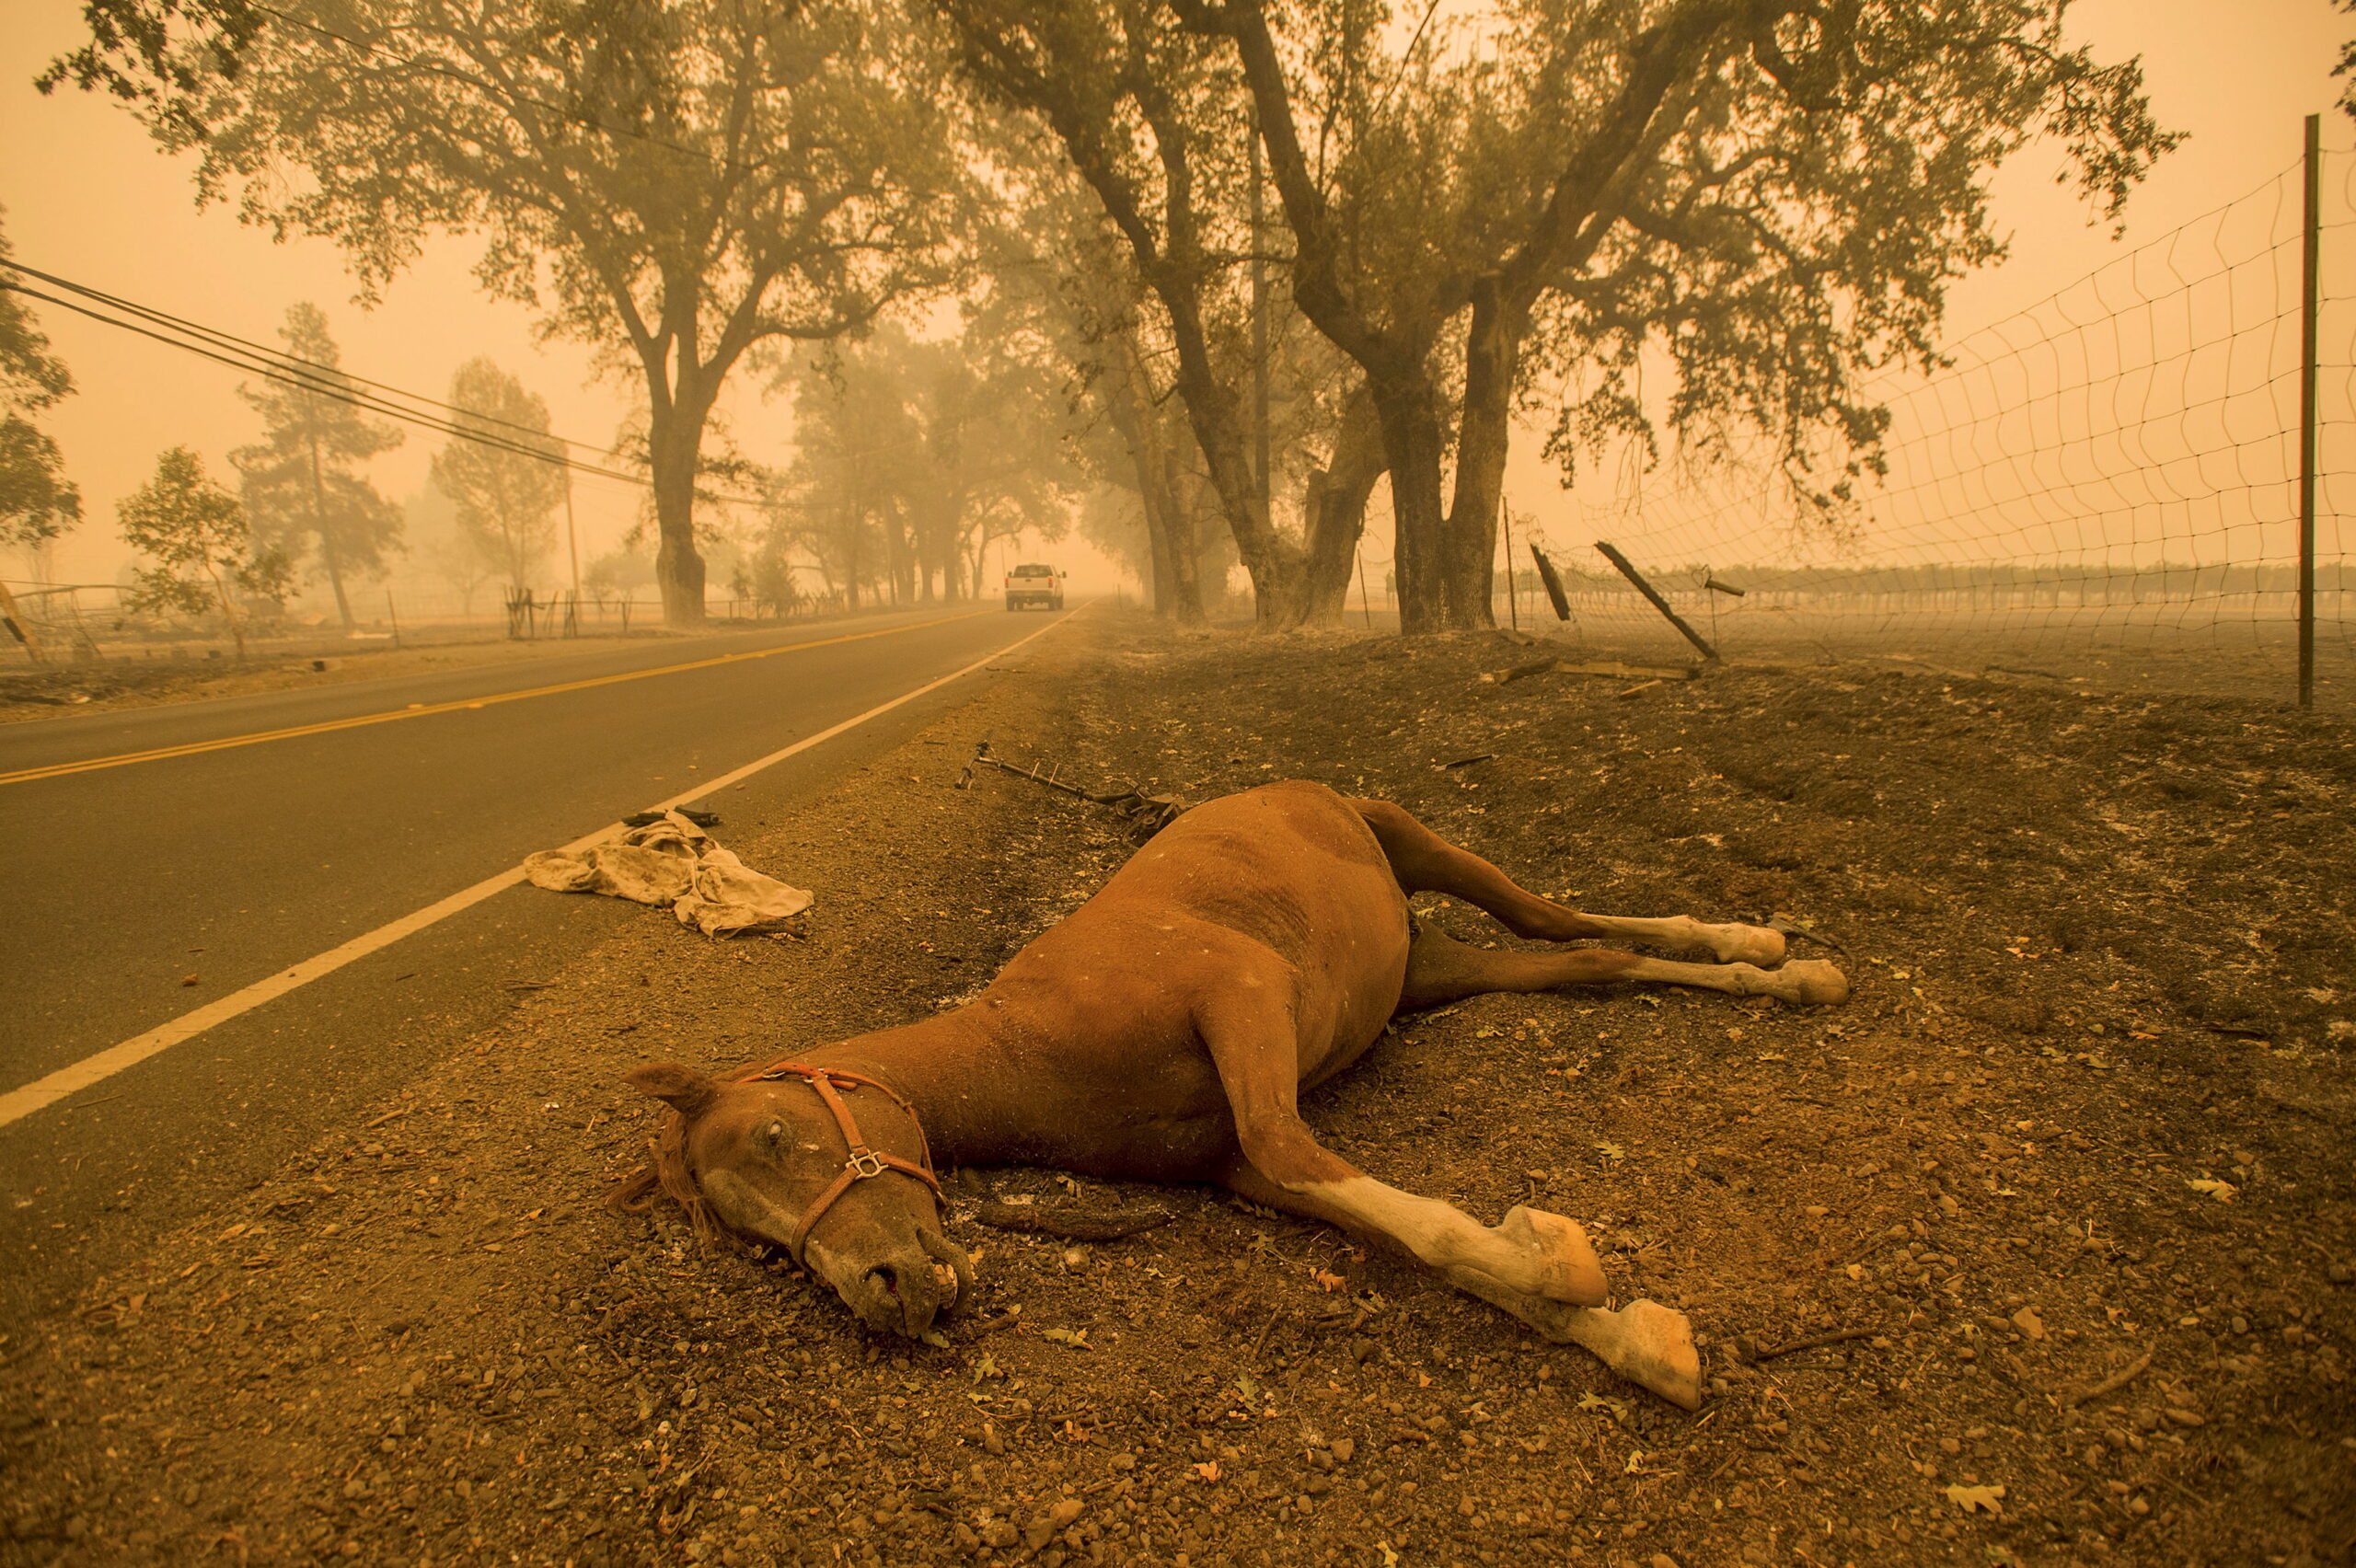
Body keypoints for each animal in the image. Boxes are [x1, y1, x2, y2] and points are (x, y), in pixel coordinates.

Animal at [617, 781, 1847, 1402]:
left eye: (779, 1134)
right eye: (755, 1241)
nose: (887, 1291)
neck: (1030, 1050)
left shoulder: (1240, 995)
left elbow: (1316, 1152)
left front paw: (1560, 1256)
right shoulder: (1234, 1169)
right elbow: (1399, 1234)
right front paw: (1636, 1338)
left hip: (1418, 845)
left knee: (1556, 916)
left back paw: (1765, 949)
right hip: (1433, 972)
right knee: (1588, 958)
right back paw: (1773, 967)